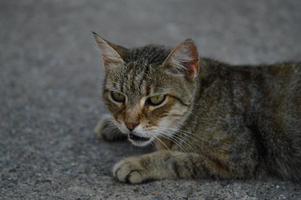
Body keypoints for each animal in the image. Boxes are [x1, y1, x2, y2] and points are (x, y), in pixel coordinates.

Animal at [92, 32, 298, 184]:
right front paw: (111, 125)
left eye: (156, 99)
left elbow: (176, 158)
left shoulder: (240, 157)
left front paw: (138, 164)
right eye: (118, 96)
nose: (130, 124)